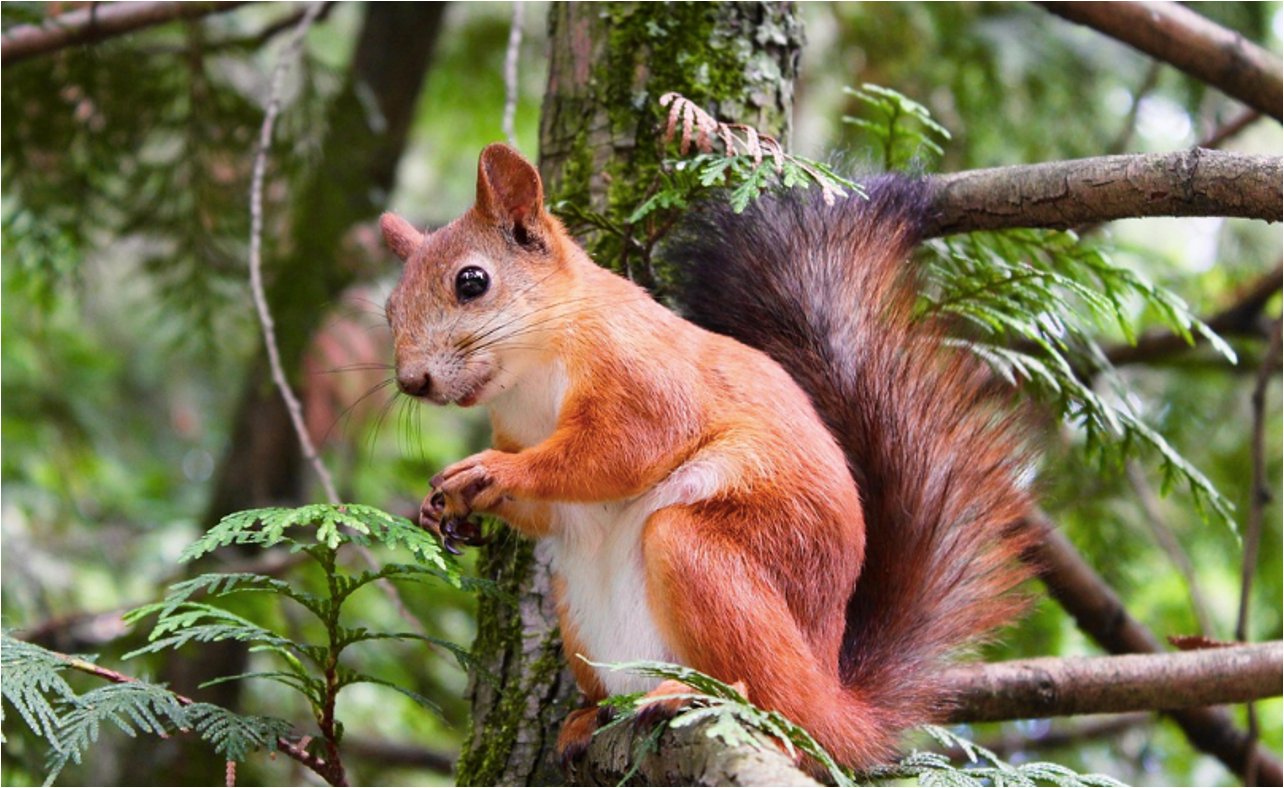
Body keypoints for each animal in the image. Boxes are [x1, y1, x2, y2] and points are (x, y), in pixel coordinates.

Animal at [379, 142, 1038, 770]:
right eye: (389, 309)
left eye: (472, 282)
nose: (412, 382)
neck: (531, 375)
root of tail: (835, 704)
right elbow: (550, 509)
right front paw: (445, 509)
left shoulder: (644, 375)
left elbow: (618, 451)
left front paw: (491, 471)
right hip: (580, 613)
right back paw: (589, 717)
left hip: (707, 558)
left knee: (775, 704)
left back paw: (696, 695)